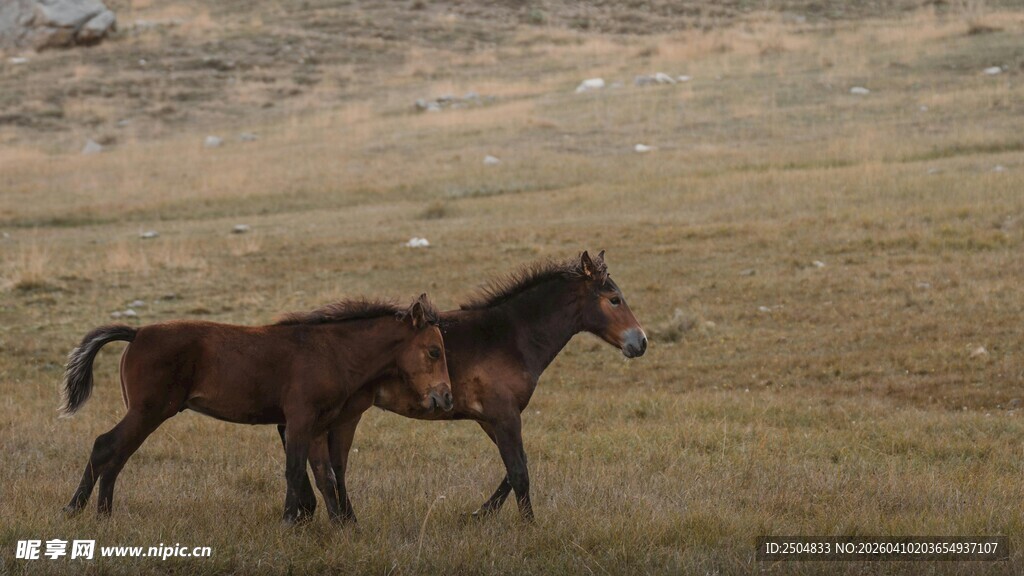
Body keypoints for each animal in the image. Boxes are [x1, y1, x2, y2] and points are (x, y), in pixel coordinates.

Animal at [60, 294, 453, 524]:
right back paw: (75, 510)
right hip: (149, 411)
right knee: (106, 446)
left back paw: (103, 514)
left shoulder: (318, 426)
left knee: (118, 453)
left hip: (146, 413)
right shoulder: (299, 420)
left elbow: (324, 474)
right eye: (434, 351)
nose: (445, 398)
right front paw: (290, 522)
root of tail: (138, 332)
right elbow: (295, 469)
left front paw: (338, 525)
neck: (332, 352)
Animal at [280, 250, 647, 522]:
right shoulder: (504, 415)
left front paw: (479, 514)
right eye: (614, 299)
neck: (512, 336)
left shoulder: (490, 418)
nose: (640, 342)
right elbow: (519, 471)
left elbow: (515, 466)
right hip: (344, 412)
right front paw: (529, 525)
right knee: (325, 460)